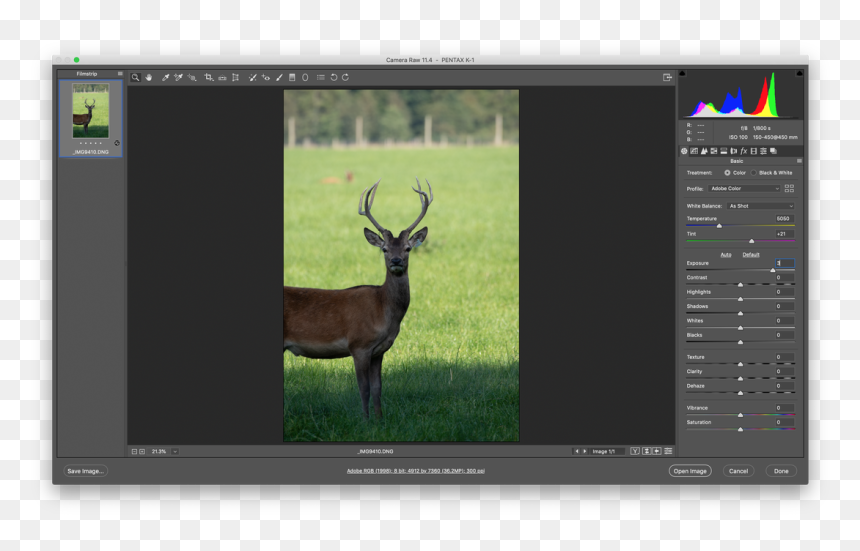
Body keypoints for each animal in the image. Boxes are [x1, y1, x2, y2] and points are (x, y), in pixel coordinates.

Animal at [283, 178, 433, 418]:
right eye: (384, 249)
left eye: (408, 248)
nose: (396, 261)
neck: (383, 311)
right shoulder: (359, 344)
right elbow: (364, 388)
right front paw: (365, 420)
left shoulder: (379, 351)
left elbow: (378, 387)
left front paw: (380, 420)